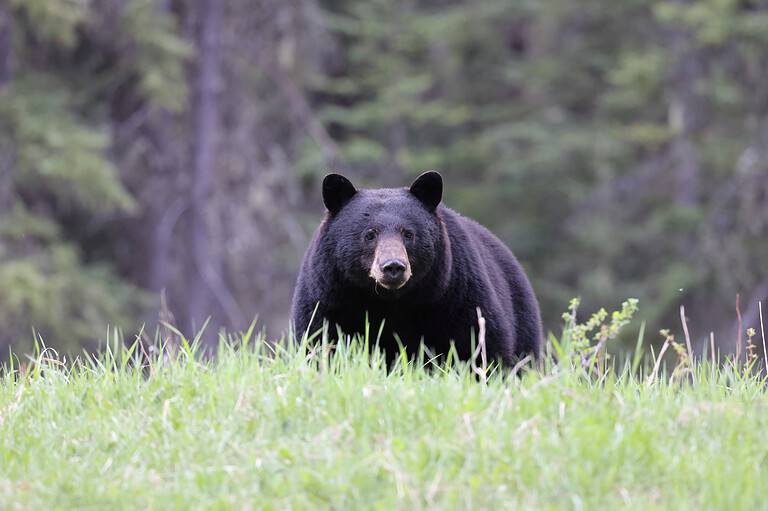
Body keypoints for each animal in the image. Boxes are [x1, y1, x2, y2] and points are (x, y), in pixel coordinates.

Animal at [291, 171, 543, 366]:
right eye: (370, 234)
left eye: (408, 233)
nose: (393, 266)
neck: (389, 302)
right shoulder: (329, 298)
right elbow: (319, 343)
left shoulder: (457, 294)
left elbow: (481, 345)